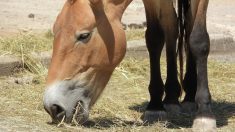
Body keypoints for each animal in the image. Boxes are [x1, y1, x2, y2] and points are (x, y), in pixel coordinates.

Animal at [43, 0, 216, 131]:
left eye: (84, 35)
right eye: (55, 31)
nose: (53, 107)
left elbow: (198, 39)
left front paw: (205, 114)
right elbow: (154, 38)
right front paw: (155, 106)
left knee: (189, 25)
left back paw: (190, 97)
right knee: (171, 26)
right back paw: (172, 99)